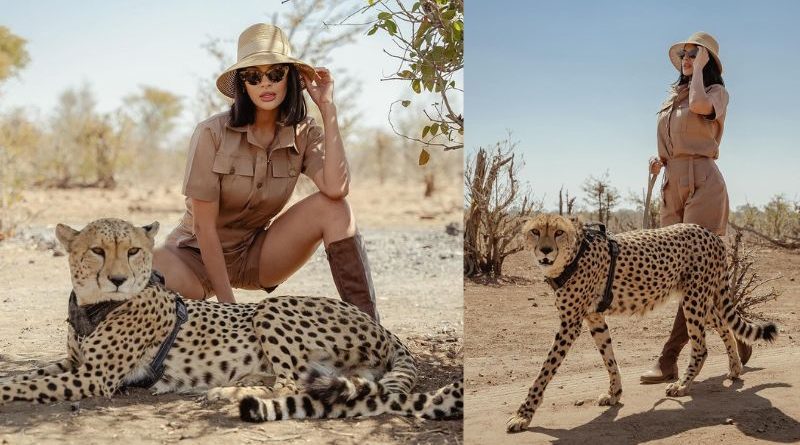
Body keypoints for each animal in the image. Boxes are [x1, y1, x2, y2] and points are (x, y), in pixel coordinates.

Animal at [1, 217, 462, 422]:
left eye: (133, 251)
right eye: (97, 250)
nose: (117, 278)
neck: (93, 304)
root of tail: (383, 328)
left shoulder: (93, 378)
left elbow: (24, 384)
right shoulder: (74, 363)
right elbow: (29, 373)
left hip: (272, 308)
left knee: (295, 384)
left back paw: (227, 394)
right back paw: (233, 386)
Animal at [506, 213, 776, 432]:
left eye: (559, 232)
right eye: (535, 231)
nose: (545, 250)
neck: (574, 254)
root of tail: (709, 232)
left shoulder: (570, 323)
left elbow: (545, 370)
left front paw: (523, 414)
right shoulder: (595, 318)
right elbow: (608, 357)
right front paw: (614, 393)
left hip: (694, 299)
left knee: (701, 347)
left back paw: (682, 385)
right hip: (700, 299)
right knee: (724, 326)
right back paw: (735, 367)